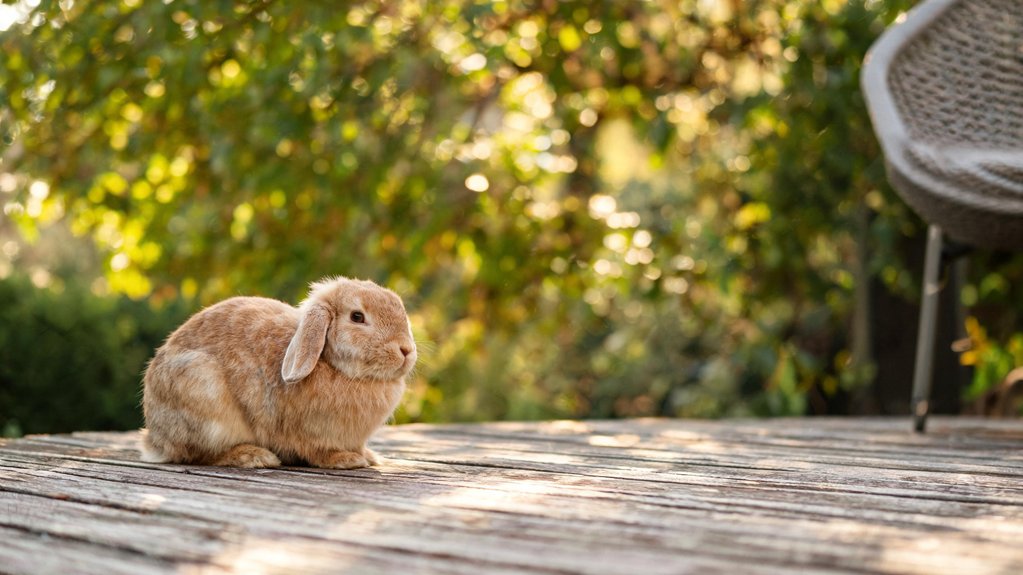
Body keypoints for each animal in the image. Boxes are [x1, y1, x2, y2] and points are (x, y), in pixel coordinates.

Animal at [140, 276, 417, 469]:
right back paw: (255, 457)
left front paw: (369, 456)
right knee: (198, 454)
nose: (406, 350)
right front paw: (347, 459)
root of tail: (155, 439)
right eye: (357, 317)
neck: (330, 362)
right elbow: (318, 452)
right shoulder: (309, 435)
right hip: (204, 395)